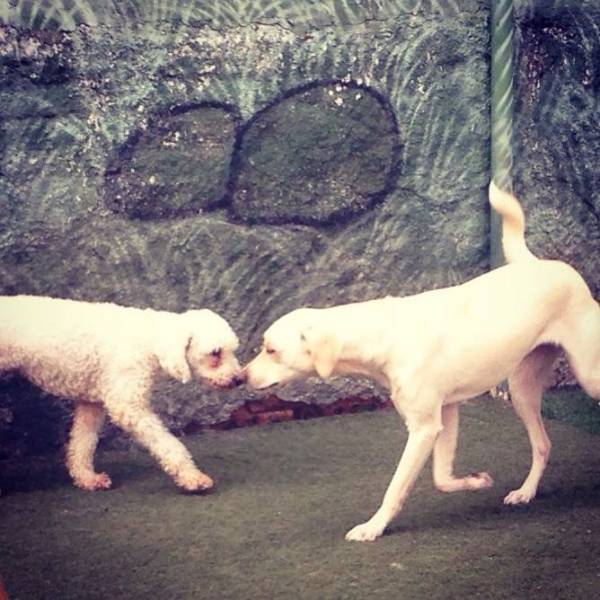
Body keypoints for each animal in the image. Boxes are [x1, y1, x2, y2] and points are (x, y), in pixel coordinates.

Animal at [0, 296, 245, 492]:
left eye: (232, 350)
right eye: (215, 353)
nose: (238, 379)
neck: (149, 340)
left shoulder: (91, 403)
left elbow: (83, 443)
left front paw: (87, 478)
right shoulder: (127, 405)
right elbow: (166, 443)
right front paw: (192, 477)